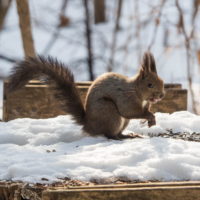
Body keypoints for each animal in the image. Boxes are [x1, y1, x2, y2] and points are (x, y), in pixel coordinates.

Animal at [7, 51, 165, 139]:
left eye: (162, 81)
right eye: (149, 85)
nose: (161, 95)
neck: (136, 91)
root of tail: (89, 125)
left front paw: (151, 119)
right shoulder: (126, 98)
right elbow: (130, 111)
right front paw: (149, 116)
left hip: (121, 121)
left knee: (117, 132)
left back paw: (127, 135)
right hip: (109, 112)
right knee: (109, 134)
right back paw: (118, 137)